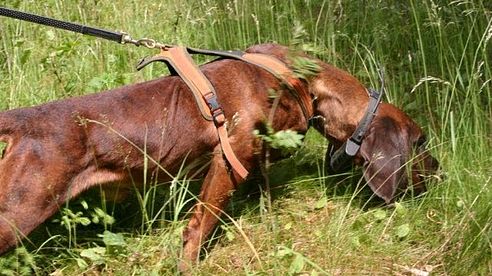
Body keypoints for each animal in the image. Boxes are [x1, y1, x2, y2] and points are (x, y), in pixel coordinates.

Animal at [0, 44, 438, 266]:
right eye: (420, 142)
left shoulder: (256, 160)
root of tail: (22, 120)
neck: (307, 84)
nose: (440, 173)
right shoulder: (229, 163)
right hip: (19, 211)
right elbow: (199, 229)